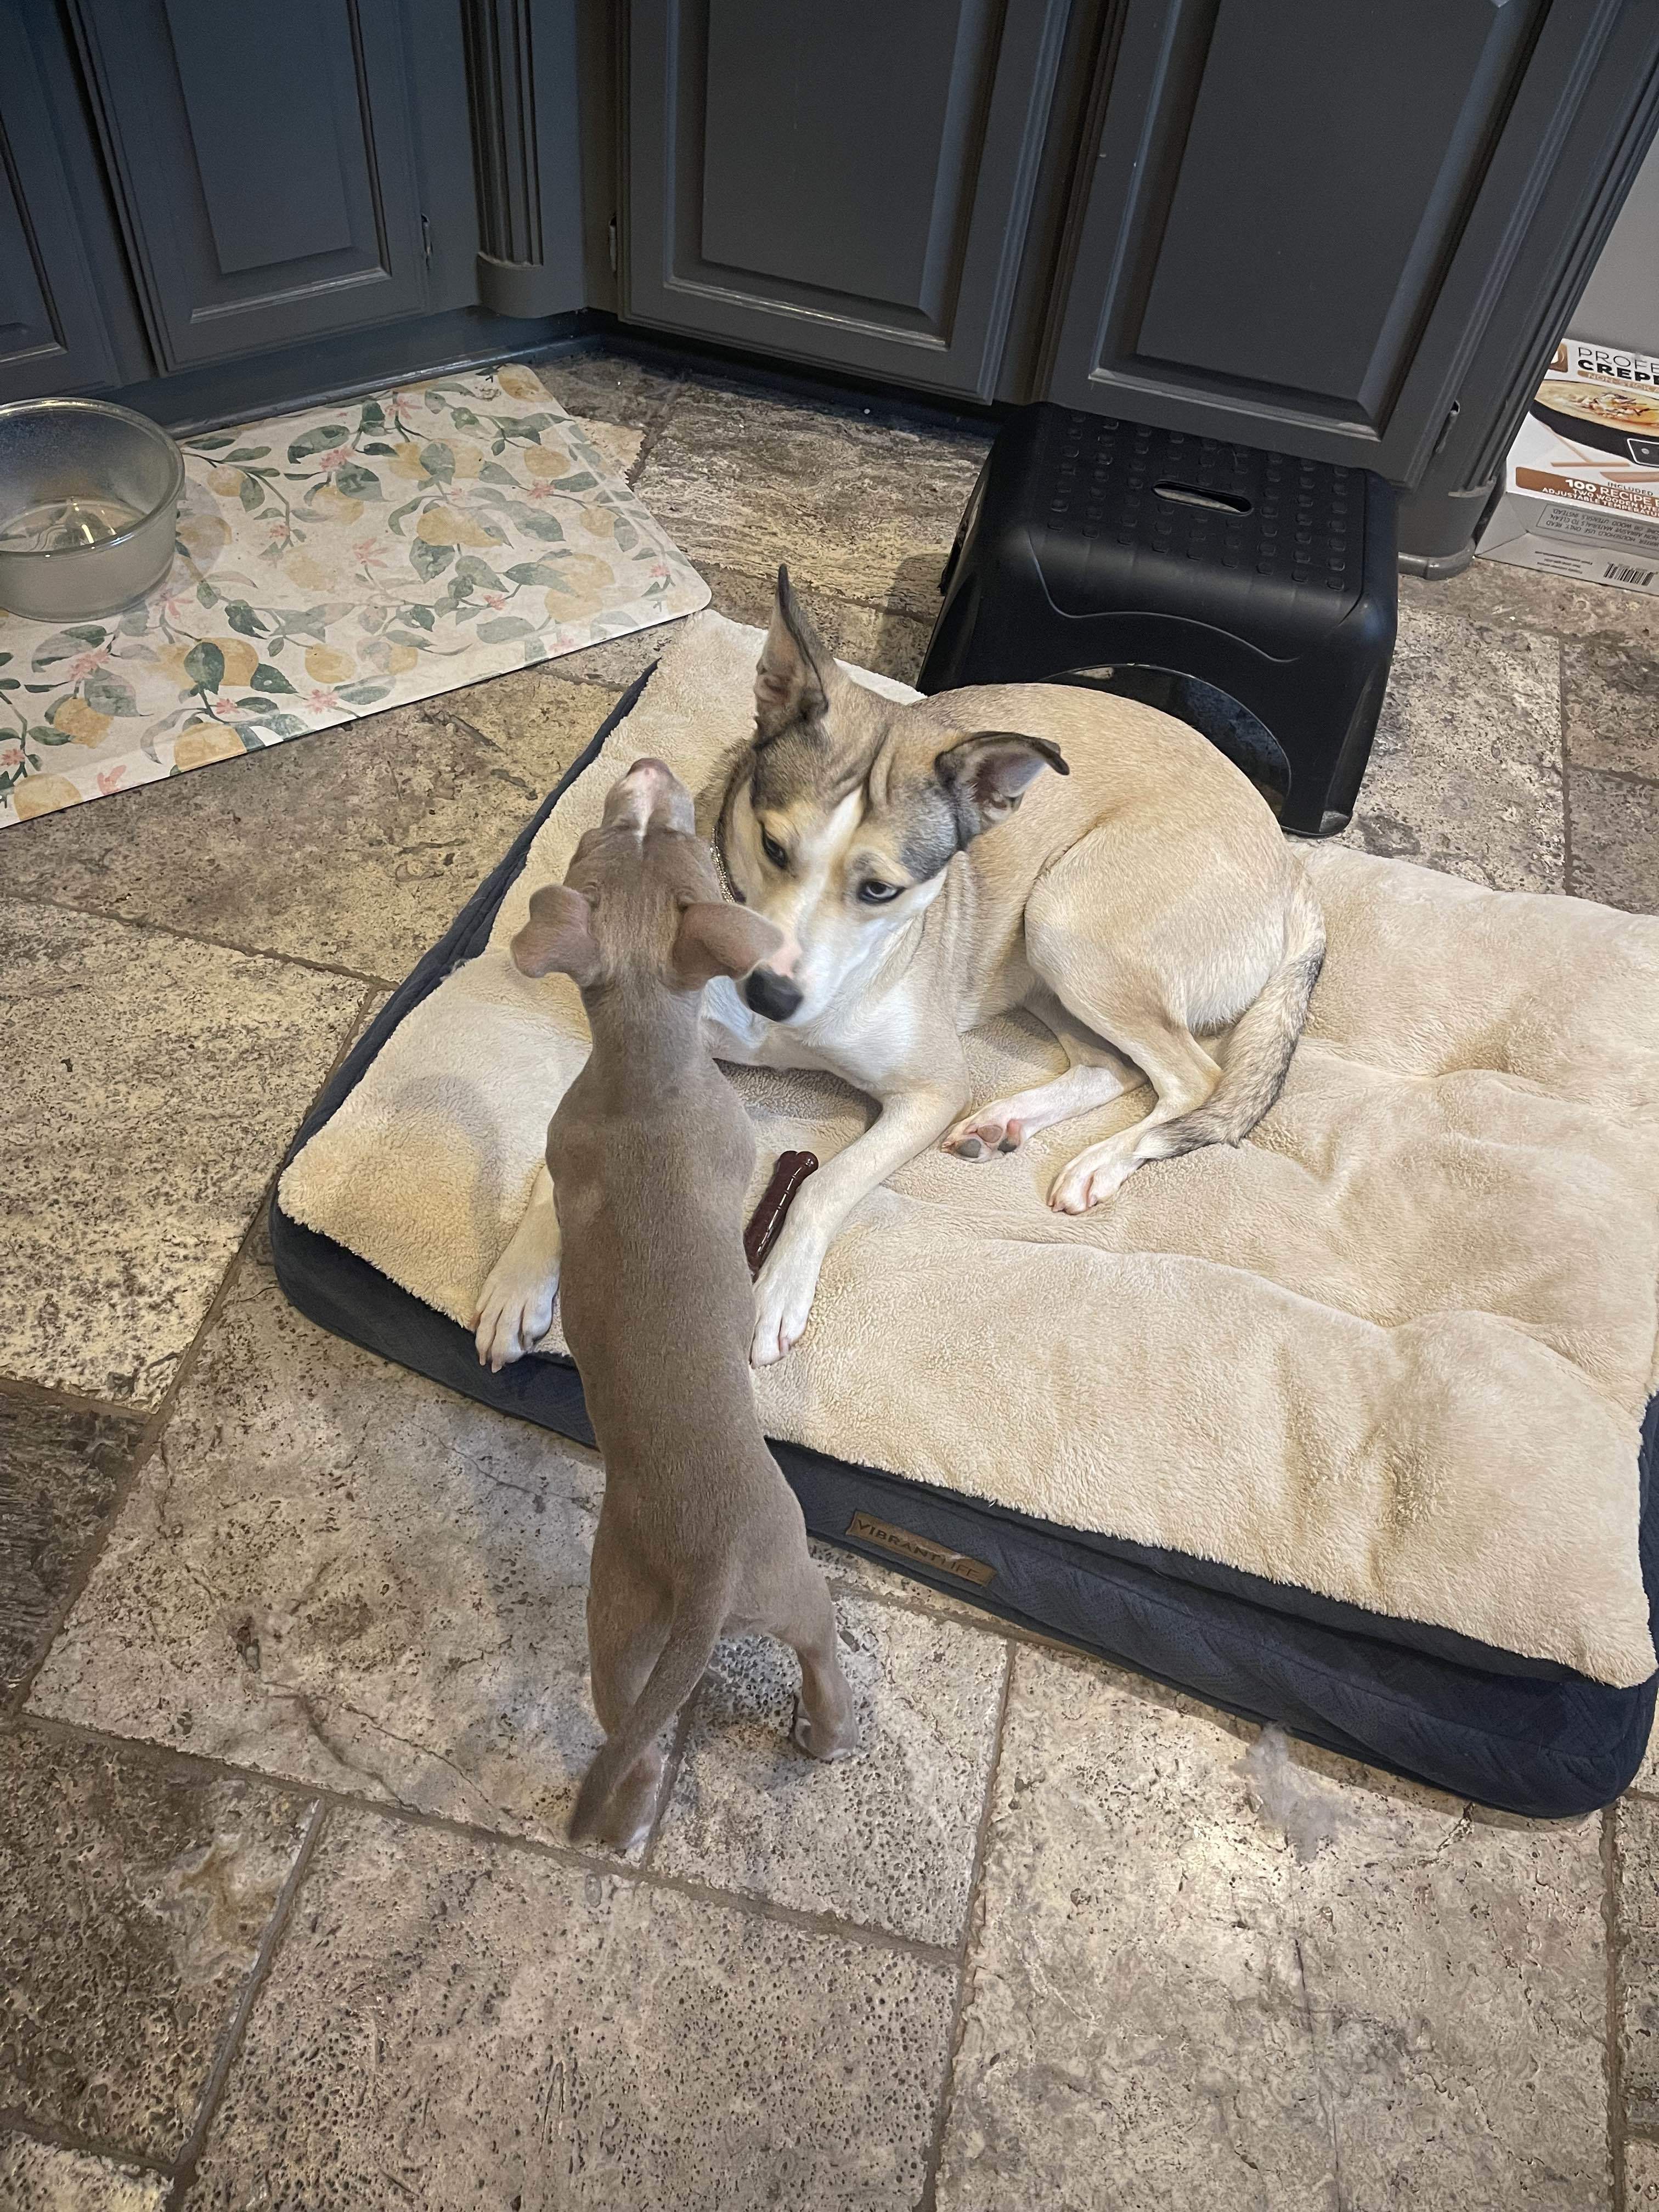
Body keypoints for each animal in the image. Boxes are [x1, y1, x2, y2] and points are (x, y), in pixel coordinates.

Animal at [477, 571, 1327, 1362]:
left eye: (879, 890)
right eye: (774, 847)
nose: (770, 994)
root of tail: (1293, 869)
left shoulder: (931, 1090)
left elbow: (824, 1183)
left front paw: (774, 1294)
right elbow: (563, 1164)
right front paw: (522, 1278)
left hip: (1068, 919)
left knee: (1193, 1080)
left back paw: (1102, 1163)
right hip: (1037, 955)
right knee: (1113, 1067)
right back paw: (1003, 1122)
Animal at [513, 756, 862, 1849]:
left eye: (627, 842)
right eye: (685, 844)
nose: (647, 768)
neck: (641, 1073)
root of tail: (705, 1567)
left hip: (616, 1621)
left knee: (624, 1727)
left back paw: (619, 1823)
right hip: (796, 1575)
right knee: (823, 1657)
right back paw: (829, 1734)